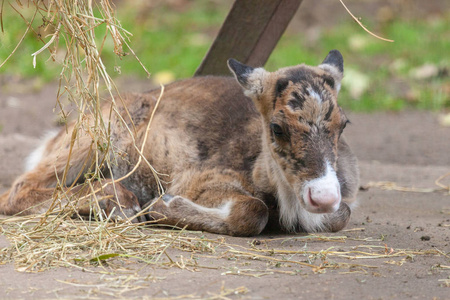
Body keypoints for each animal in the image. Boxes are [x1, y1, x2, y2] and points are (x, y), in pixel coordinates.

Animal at [0, 49, 358, 237]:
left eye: (344, 124)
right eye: (277, 127)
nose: (323, 196)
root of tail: (56, 136)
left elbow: (343, 214)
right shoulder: (199, 179)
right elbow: (252, 211)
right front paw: (162, 206)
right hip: (93, 139)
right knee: (17, 189)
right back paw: (119, 202)